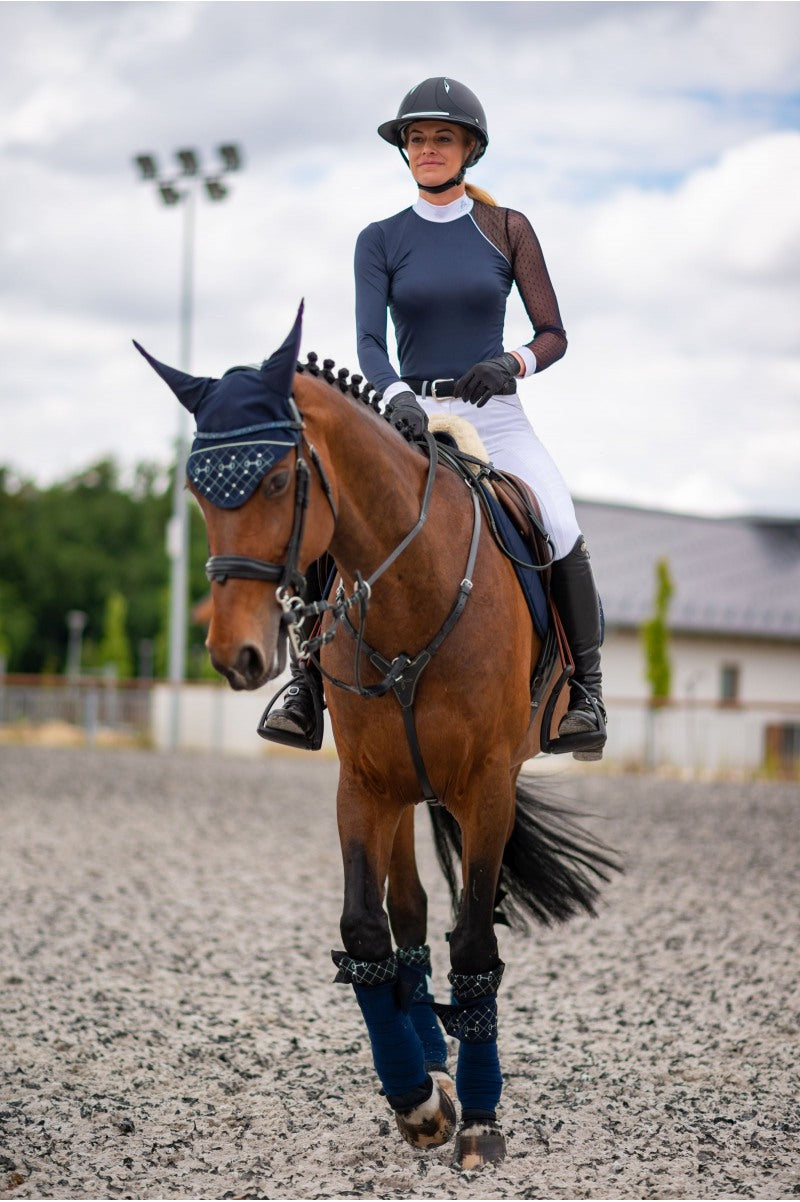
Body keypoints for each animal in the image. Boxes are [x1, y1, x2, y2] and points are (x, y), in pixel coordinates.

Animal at [133, 307, 612, 1173]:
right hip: (402, 783)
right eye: (195, 490)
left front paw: (480, 1119)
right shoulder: (363, 783)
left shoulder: (486, 786)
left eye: (280, 480)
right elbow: (367, 926)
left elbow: (474, 942)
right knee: (410, 909)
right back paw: (427, 1052)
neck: (413, 588)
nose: (234, 653)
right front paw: (417, 1099)